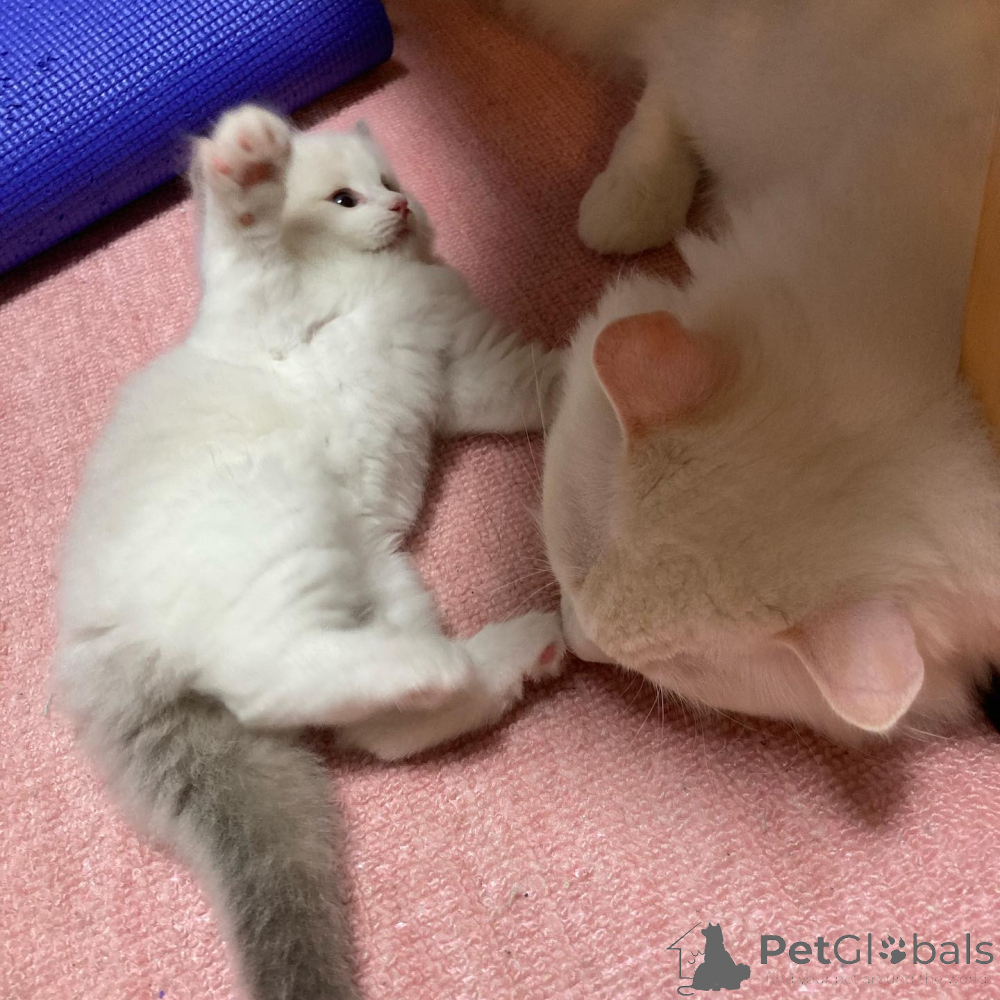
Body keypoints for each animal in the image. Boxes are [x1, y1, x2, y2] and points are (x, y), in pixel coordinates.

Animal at [54, 105, 565, 1000]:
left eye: (391, 183)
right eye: (343, 198)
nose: (400, 208)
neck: (377, 287)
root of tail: (102, 654)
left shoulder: (461, 377)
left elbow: (529, 386)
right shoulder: (261, 311)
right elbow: (248, 246)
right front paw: (249, 158)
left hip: (381, 571)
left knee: (379, 731)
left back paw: (504, 656)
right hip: (283, 526)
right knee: (269, 676)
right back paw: (442, 664)